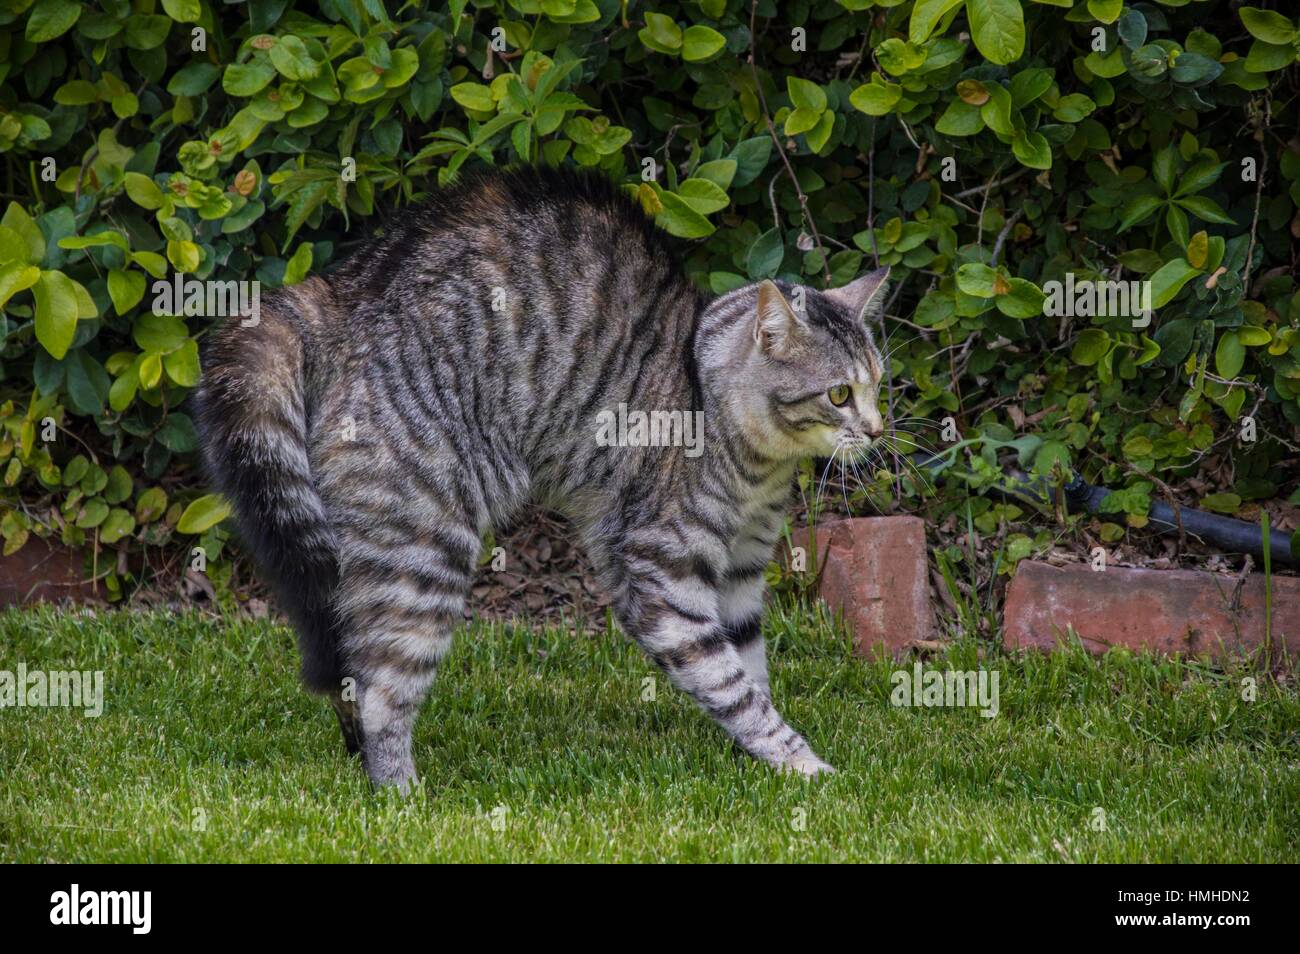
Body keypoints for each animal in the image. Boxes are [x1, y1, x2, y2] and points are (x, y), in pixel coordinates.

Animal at [197, 166, 889, 790]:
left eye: (878, 383)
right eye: (839, 394)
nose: (880, 430)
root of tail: (341, 288)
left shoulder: (743, 568)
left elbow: (748, 662)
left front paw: (761, 760)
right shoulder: (662, 566)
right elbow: (727, 679)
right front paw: (798, 762)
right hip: (425, 549)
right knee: (380, 692)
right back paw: (401, 795)